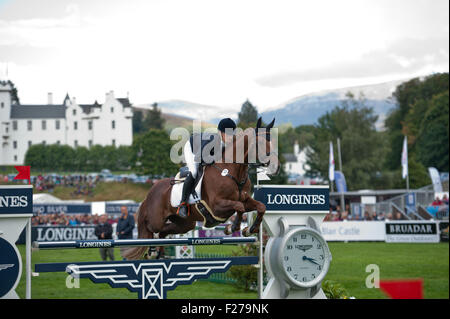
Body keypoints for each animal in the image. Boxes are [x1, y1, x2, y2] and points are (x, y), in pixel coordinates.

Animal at [123, 117, 278, 260]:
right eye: (260, 143)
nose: (275, 167)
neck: (232, 172)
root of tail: (151, 191)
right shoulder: (216, 206)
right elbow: (239, 207)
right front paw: (232, 227)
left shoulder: (245, 199)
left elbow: (260, 207)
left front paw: (251, 229)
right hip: (156, 220)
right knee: (151, 230)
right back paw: (152, 250)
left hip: (185, 224)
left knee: (163, 232)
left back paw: (157, 253)